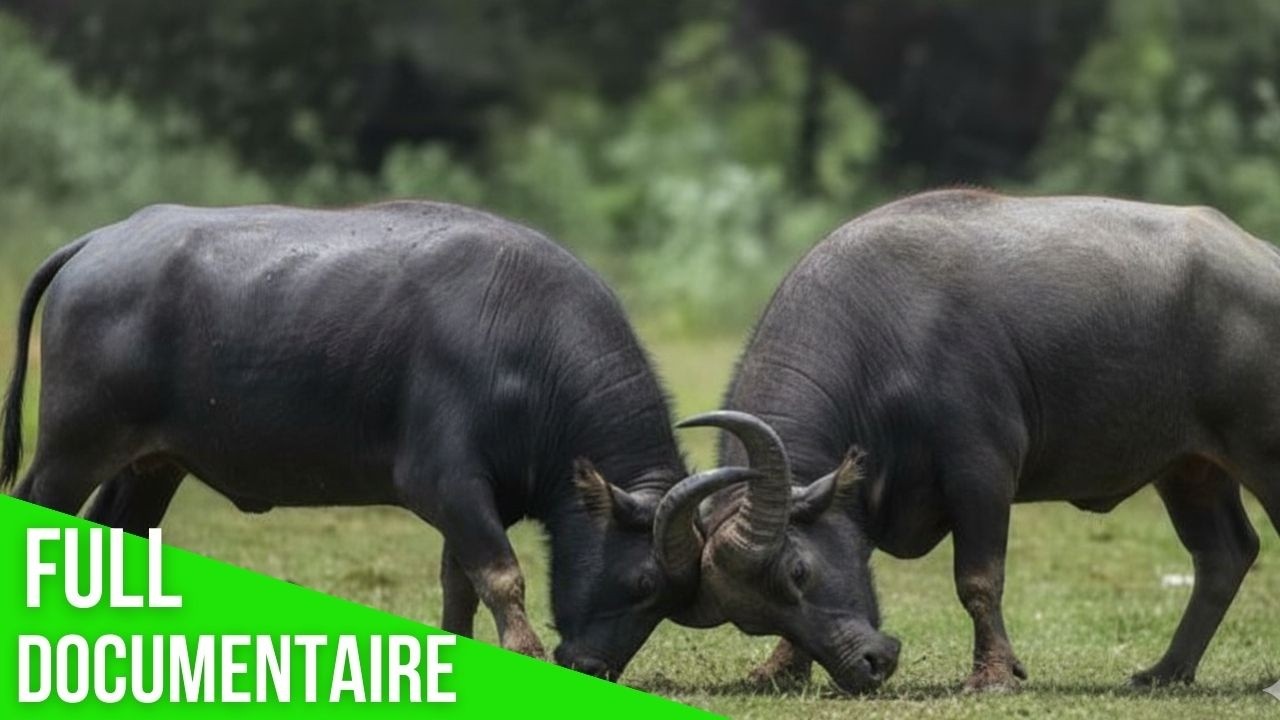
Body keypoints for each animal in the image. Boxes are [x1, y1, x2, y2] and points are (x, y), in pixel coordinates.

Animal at [659, 190, 1280, 692]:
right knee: (1224, 553)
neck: (884, 347)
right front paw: (781, 667)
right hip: (1190, 469)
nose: (866, 667)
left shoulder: (981, 470)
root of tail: (1265, 259)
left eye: (797, 572)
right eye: (754, 619)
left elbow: (978, 580)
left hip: (1262, 453)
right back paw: (1167, 671)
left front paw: (994, 674)